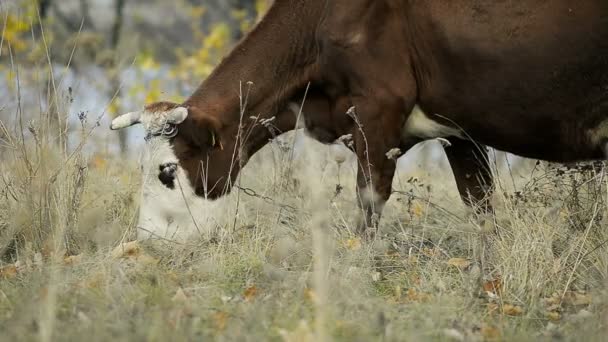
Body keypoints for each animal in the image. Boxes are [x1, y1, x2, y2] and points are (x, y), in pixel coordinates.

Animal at [111, 1, 608, 238]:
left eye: (167, 171)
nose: (149, 240)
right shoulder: (459, 128)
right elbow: (480, 205)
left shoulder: (377, 111)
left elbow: (369, 205)